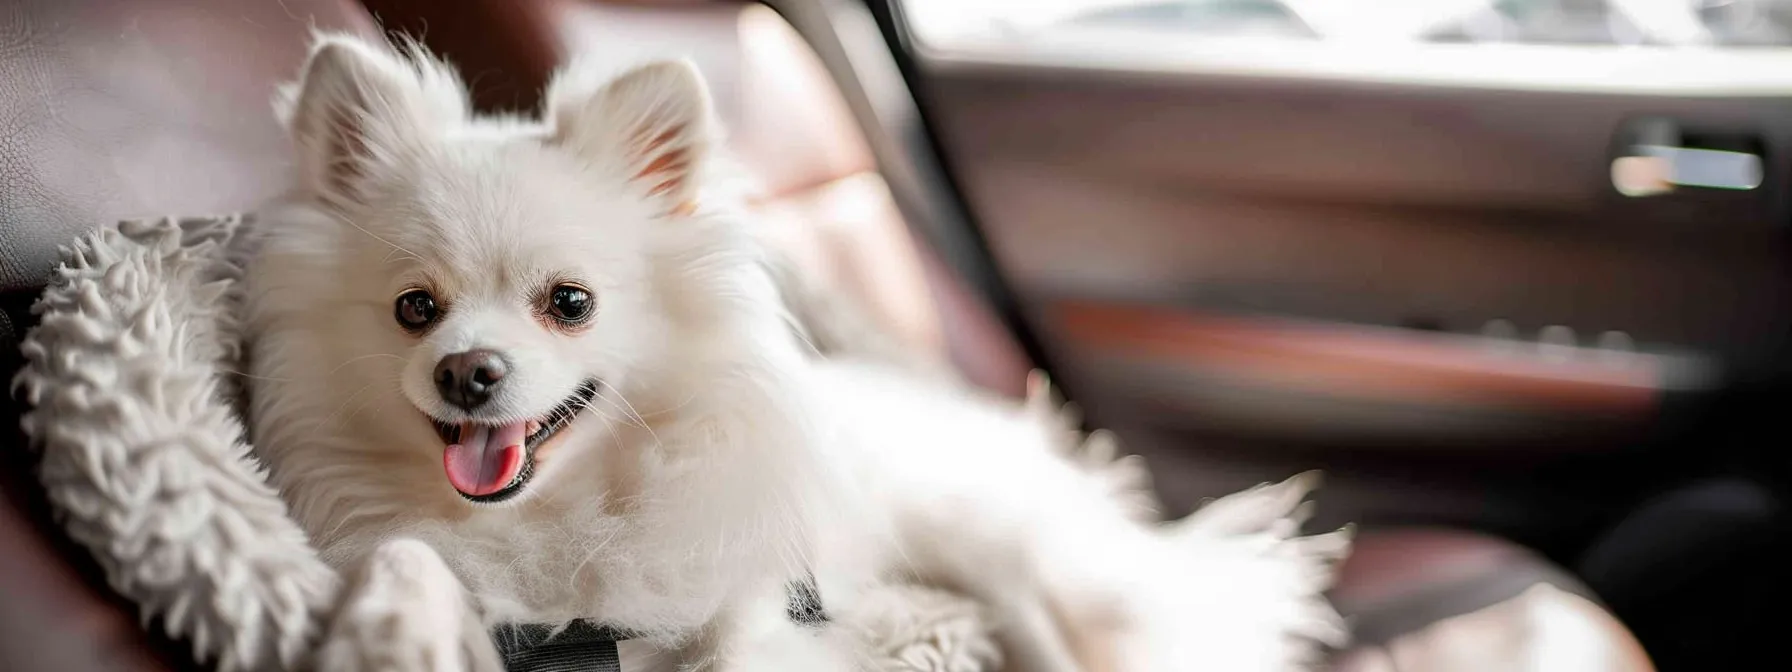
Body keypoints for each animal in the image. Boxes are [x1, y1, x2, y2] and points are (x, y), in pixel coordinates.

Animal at [245, 35, 1347, 672]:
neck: (557, 523)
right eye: (415, 309)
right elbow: (411, 576)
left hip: (986, 534)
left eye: (569, 304)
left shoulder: (754, 603)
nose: (467, 372)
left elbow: (736, 649)